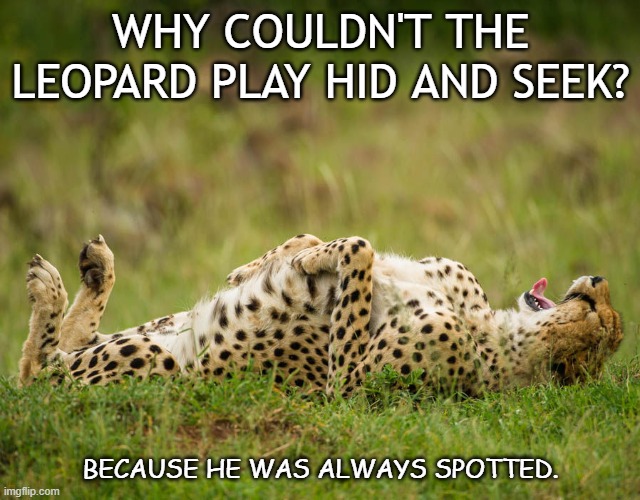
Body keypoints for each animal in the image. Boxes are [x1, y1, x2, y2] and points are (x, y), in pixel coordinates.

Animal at [19, 234, 623, 397]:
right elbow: (321, 241)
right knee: (60, 352)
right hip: (154, 329)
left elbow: (359, 248)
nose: (598, 280)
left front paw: (310, 264)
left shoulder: (346, 386)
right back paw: (92, 269)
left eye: (601, 320)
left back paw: (50, 290)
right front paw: (257, 268)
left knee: (39, 375)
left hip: (160, 365)